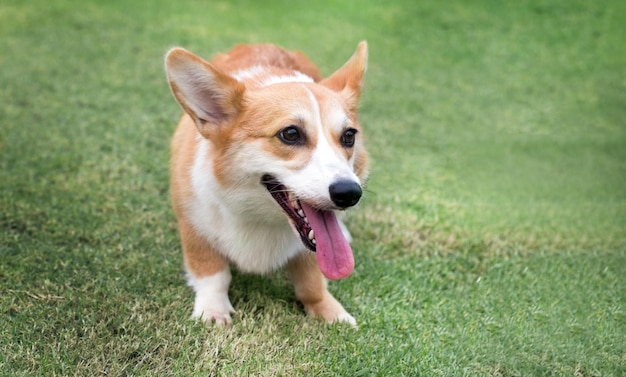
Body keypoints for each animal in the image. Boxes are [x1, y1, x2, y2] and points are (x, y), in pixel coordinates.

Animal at [163, 40, 368, 324]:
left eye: (349, 136)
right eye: (290, 134)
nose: (349, 193)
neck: (261, 217)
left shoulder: (309, 252)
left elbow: (312, 284)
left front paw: (331, 312)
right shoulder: (193, 223)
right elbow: (212, 273)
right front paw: (214, 311)